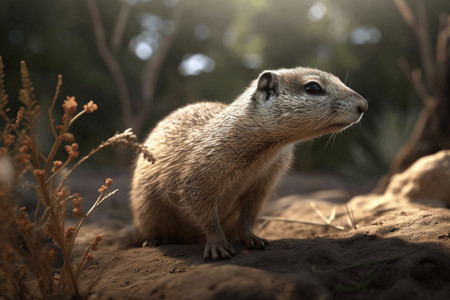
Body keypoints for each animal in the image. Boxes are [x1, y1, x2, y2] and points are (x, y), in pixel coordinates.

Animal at [128, 67, 368, 258]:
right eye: (313, 88)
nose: (364, 105)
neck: (267, 153)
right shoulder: (199, 175)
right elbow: (205, 212)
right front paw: (217, 244)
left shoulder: (263, 182)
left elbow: (249, 214)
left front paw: (253, 238)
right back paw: (155, 240)